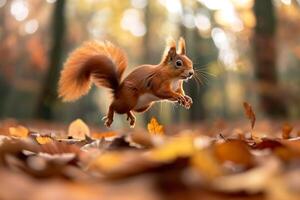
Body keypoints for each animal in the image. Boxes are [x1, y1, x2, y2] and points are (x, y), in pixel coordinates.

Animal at [58, 38, 195, 126]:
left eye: (191, 62)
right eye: (178, 63)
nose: (191, 73)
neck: (175, 79)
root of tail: (117, 91)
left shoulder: (178, 86)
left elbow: (181, 93)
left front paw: (186, 99)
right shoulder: (158, 82)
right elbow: (164, 92)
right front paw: (178, 97)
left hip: (142, 106)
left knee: (128, 109)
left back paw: (131, 117)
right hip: (129, 98)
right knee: (113, 105)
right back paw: (109, 118)